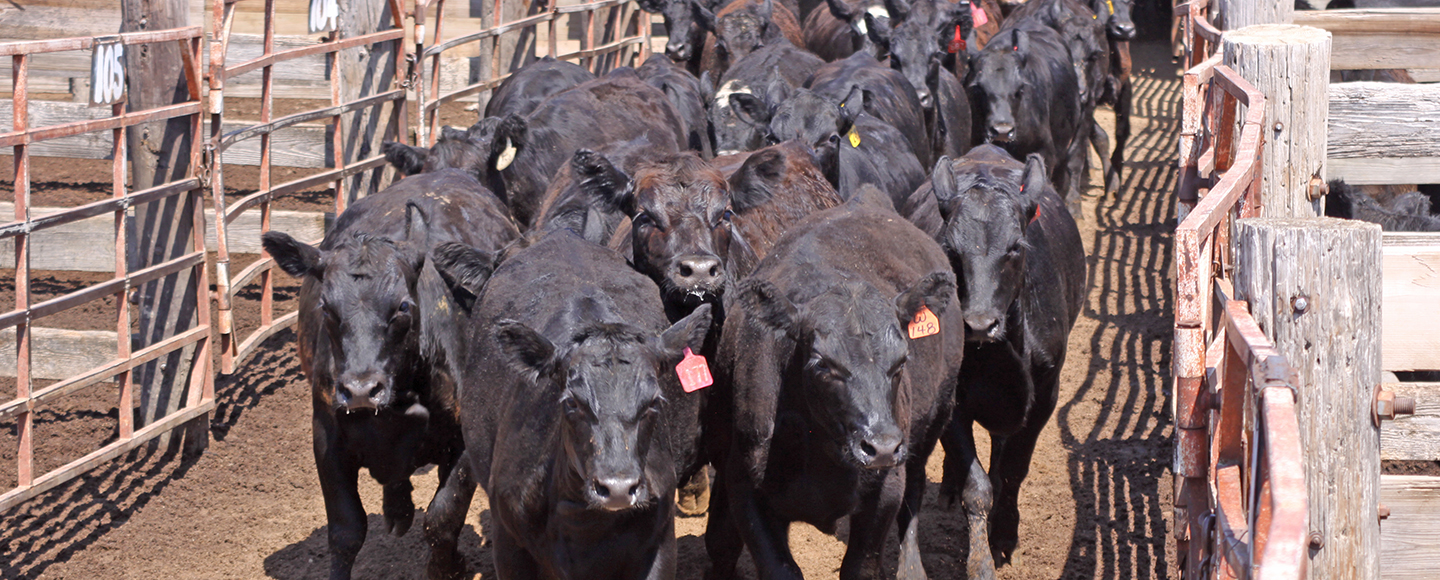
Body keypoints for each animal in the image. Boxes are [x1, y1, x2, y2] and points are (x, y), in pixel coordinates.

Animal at [262, 169, 521, 580]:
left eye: (402, 306)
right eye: (326, 306)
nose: (361, 390)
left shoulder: (466, 442)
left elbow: (442, 518)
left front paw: (449, 568)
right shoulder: (327, 435)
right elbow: (346, 531)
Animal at [455, 230, 714, 580]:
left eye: (653, 403)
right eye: (571, 402)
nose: (617, 487)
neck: (585, 529)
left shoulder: (661, 542)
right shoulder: (508, 542)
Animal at [702, 188, 961, 580]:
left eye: (901, 361)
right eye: (823, 364)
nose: (881, 447)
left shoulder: (885, 488)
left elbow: (861, 565)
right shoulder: (745, 486)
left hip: (934, 421)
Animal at [892, 145, 1082, 572]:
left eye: (1015, 247)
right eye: (951, 250)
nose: (978, 323)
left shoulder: (1045, 394)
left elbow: (1013, 470)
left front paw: (1005, 534)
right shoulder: (952, 399)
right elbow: (976, 485)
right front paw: (979, 561)